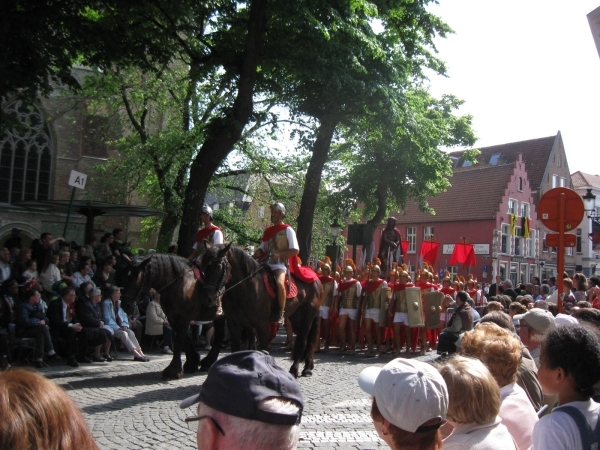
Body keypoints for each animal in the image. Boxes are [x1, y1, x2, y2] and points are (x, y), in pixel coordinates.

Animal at [200, 244, 324, 378]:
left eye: (218, 266)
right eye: (203, 265)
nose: (207, 298)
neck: (246, 286)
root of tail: (315, 278)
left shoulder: (262, 325)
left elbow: (263, 349)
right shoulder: (234, 323)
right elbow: (236, 348)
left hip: (307, 317)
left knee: (303, 340)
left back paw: (295, 370)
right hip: (295, 316)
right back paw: (307, 367)